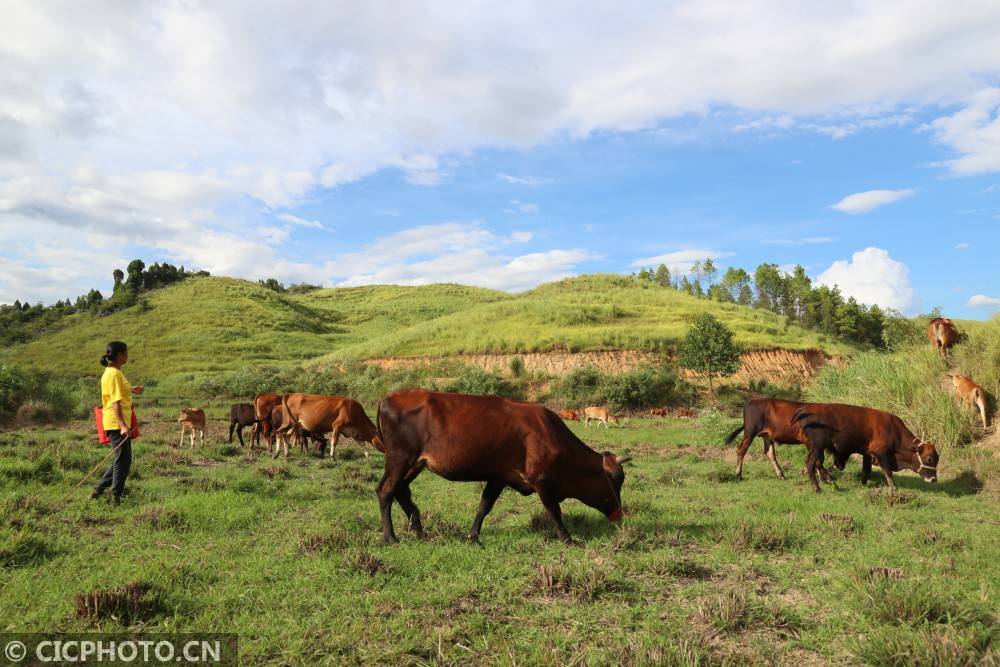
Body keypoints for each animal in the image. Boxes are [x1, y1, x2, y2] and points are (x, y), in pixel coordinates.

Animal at [376, 388, 632, 544]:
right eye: (616, 480)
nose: (619, 513)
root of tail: (388, 398)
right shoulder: (542, 481)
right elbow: (554, 511)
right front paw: (568, 539)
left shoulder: (499, 476)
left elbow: (484, 506)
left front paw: (473, 536)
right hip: (400, 459)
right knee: (386, 491)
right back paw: (391, 537)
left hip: (413, 464)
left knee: (400, 491)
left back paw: (418, 530)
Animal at [788, 404, 936, 494]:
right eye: (929, 458)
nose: (934, 479)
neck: (894, 430)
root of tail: (806, 409)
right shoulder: (881, 452)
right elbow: (888, 471)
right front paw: (893, 488)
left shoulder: (867, 453)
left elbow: (866, 470)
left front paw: (864, 484)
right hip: (817, 446)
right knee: (811, 463)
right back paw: (817, 488)